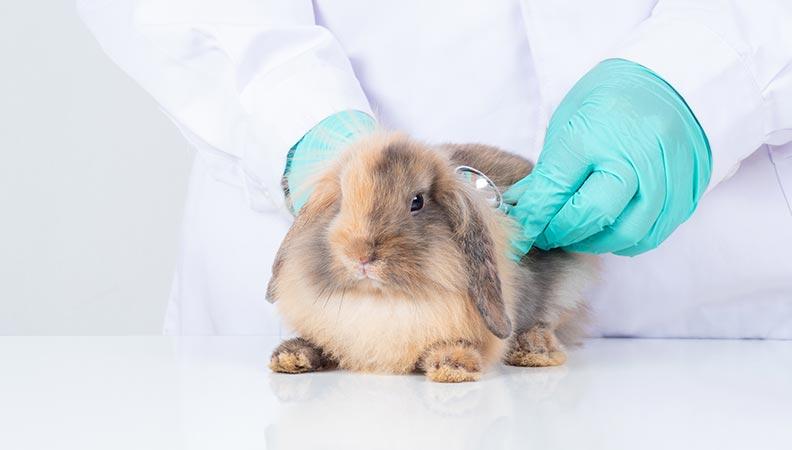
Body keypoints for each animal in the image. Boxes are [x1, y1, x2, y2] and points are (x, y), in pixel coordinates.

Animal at [266, 131, 599, 383]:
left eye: (417, 202)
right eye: (342, 201)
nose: (360, 256)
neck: (383, 300)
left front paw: (453, 366)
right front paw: (290, 356)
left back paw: (535, 350)